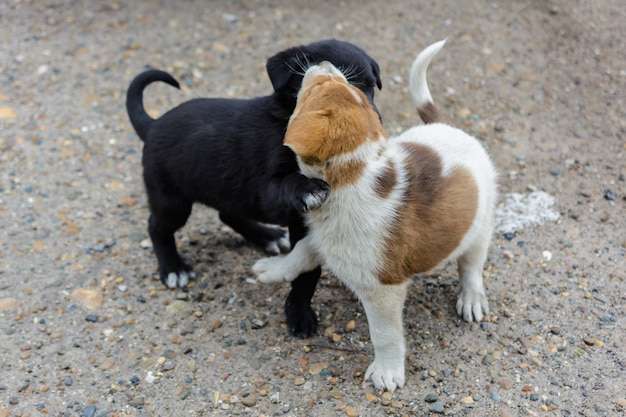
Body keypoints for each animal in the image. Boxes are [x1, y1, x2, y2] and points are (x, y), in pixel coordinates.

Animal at [125, 39, 380, 336]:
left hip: (227, 190)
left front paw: (299, 309)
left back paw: (268, 236)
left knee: (227, 214)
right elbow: (291, 190)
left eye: (370, 88)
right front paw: (299, 314)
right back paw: (173, 268)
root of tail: (152, 125)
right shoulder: (268, 189)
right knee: (157, 228)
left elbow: (306, 270)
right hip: (172, 200)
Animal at [251, 40, 494, 392]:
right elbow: (299, 255)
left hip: (480, 229)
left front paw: (387, 371)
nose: (323, 63)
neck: (351, 173)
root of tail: (453, 128)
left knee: (471, 267)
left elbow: (385, 334)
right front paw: (274, 269)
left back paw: (472, 298)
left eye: (316, 89)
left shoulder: (383, 289)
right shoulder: (322, 238)